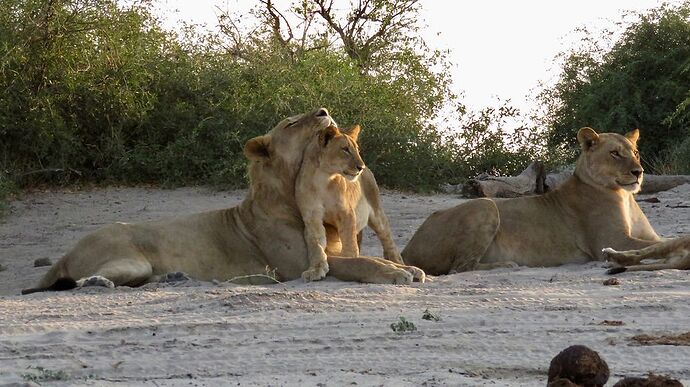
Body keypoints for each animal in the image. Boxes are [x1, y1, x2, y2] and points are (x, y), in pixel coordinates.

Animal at [296, 125, 408, 282]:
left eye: (357, 150)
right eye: (345, 149)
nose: (361, 167)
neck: (323, 179)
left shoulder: (346, 213)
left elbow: (349, 243)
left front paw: (350, 261)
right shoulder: (312, 216)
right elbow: (316, 244)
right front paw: (316, 269)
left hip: (377, 212)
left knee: (388, 240)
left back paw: (398, 263)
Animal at [400, 128, 664, 276]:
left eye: (635, 153)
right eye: (614, 153)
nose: (639, 172)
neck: (624, 196)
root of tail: (406, 250)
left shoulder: (645, 236)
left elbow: (662, 241)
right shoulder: (611, 240)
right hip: (485, 205)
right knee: (460, 268)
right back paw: (508, 265)